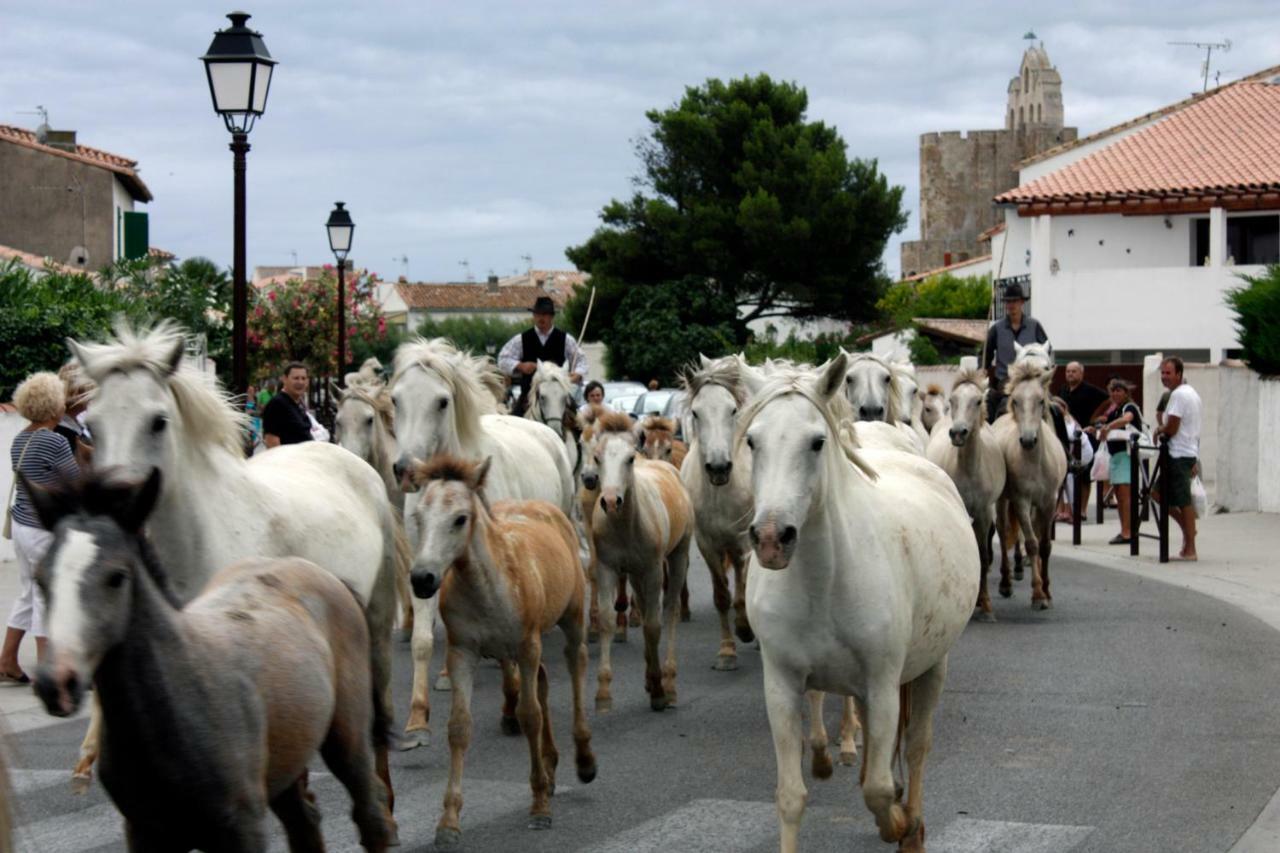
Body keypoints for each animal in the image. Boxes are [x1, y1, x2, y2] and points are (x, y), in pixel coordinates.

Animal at [386, 333, 573, 742]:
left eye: (442, 401)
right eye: (395, 399)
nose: (405, 470)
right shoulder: (424, 567)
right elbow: (423, 640)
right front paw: (417, 720)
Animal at [742, 350, 977, 845]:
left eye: (816, 442)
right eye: (752, 440)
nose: (771, 539)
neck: (822, 584)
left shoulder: (883, 685)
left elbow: (878, 789)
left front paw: (900, 824)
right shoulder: (782, 686)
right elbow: (792, 796)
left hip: (932, 666)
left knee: (918, 745)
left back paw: (913, 824)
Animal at [926, 366, 1003, 617]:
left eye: (978, 401)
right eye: (952, 401)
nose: (958, 433)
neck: (970, 469)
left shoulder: (984, 513)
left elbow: (984, 555)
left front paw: (985, 603)